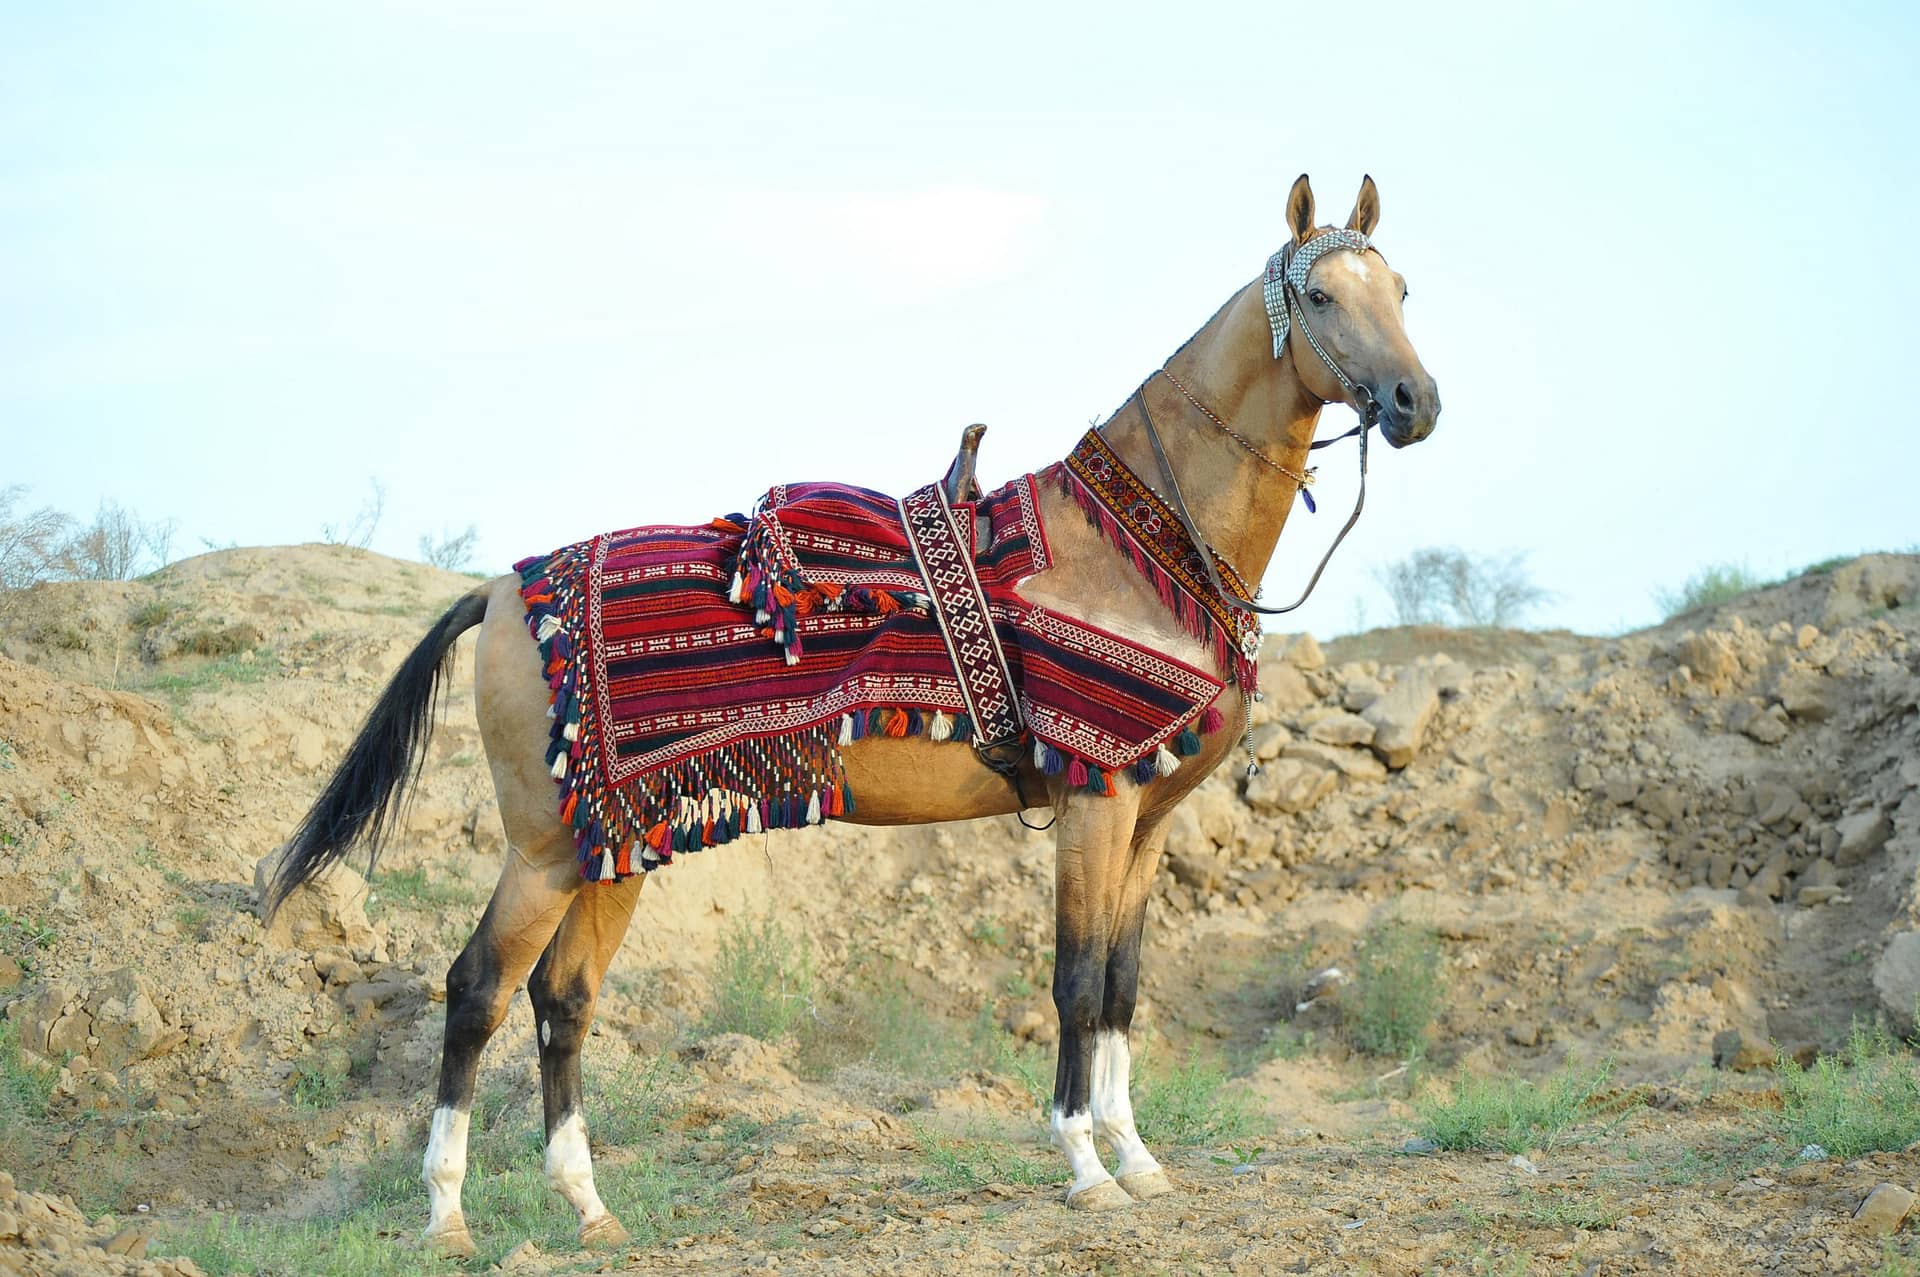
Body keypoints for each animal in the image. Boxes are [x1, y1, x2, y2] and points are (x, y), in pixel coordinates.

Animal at [270, 171, 1443, 1252]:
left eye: (1401, 289)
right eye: (1322, 296)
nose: (1414, 402)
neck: (1139, 543)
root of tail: (506, 589)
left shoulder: (1147, 823)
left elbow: (1120, 985)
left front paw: (1137, 1156)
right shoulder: (1094, 806)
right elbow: (1073, 983)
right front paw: (1083, 1163)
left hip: (612, 840)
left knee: (564, 999)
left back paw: (589, 1208)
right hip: (542, 847)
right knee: (477, 989)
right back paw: (446, 1214)